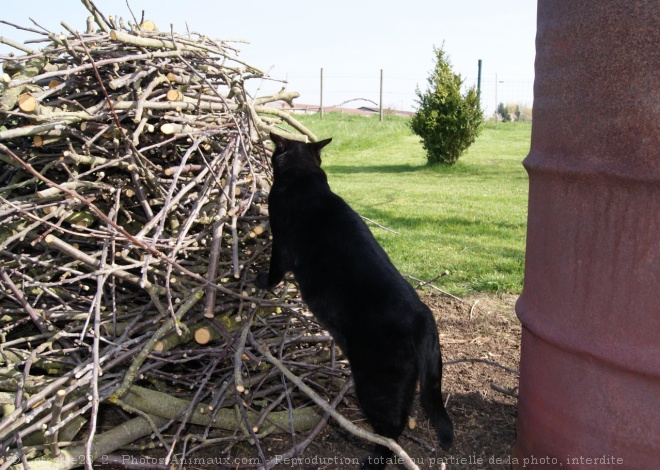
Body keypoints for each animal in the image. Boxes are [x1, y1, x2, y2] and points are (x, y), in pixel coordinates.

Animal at [258, 131, 454, 466]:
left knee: (390, 428)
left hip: (376, 383)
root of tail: (425, 318)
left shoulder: (280, 246)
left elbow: (272, 273)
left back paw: (374, 459)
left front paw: (258, 283)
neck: (303, 175)